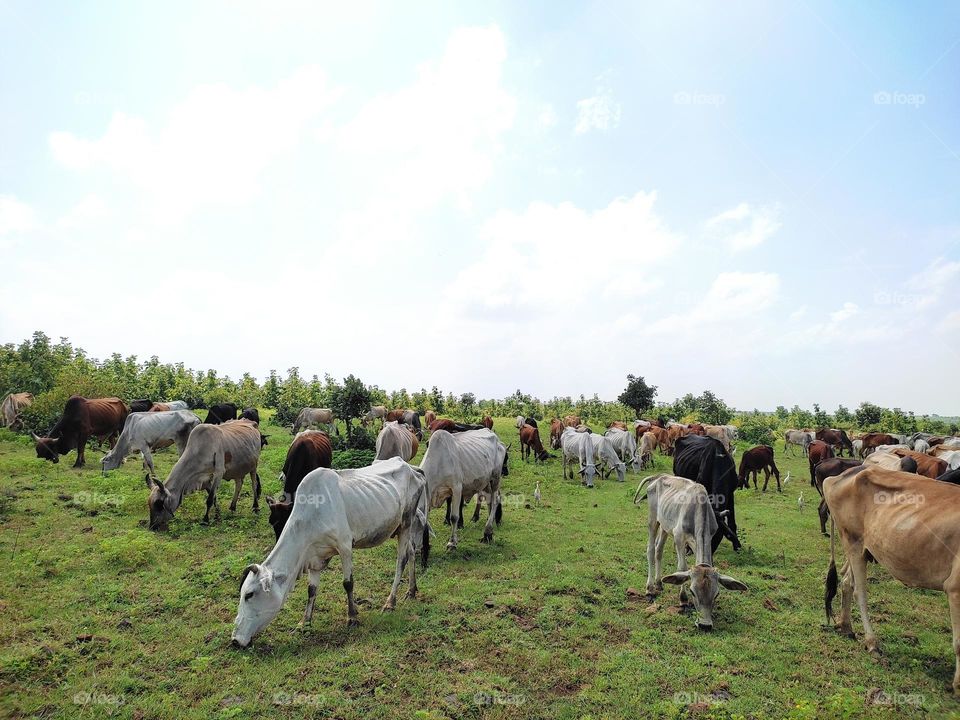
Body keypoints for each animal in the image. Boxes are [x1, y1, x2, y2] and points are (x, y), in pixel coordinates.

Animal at [232, 457, 429, 646]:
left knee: (401, 560)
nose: (235, 640)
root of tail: (413, 469)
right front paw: (304, 623)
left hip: (406, 522)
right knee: (411, 553)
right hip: (401, 529)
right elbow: (311, 590)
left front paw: (352, 617)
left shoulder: (345, 547)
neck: (312, 516)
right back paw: (411, 590)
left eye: (249, 594)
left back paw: (390, 602)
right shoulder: (314, 557)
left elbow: (348, 583)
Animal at [634, 473, 748, 629]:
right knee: (651, 550)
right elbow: (682, 568)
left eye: (716, 594)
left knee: (659, 550)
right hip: (653, 520)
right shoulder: (679, 537)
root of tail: (658, 476)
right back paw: (650, 589)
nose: (705, 625)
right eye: (693, 592)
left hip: (665, 526)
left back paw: (659, 583)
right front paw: (683, 599)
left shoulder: (705, 538)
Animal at [823, 465, 960, 694]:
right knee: (859, 592)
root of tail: (848, 473)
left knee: (846, 583)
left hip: (861, 550)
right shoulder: (955, 589)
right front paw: (958, 685)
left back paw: (846, 627)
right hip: (852, 541)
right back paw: (872, 643)